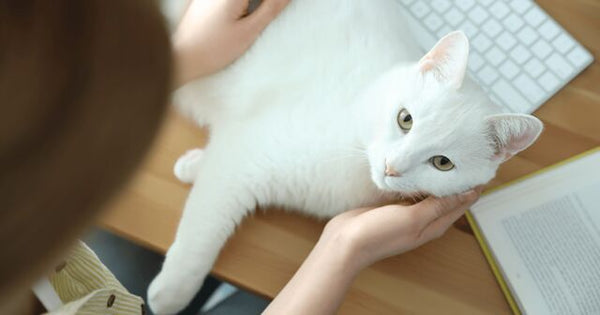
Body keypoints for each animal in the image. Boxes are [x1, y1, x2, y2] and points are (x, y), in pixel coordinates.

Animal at [148, 0, 540, 314]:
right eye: (405, 119)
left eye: (443, 163)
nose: (392, 167)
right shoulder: (246, 156)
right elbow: (204, 224)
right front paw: (171, 292)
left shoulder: (239, 150)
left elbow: (215, 171)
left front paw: (191, 165)